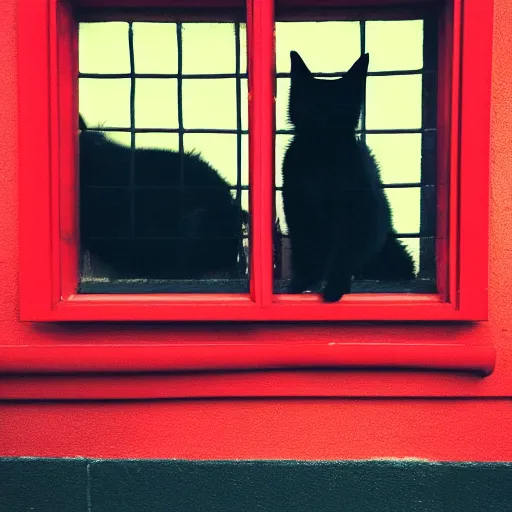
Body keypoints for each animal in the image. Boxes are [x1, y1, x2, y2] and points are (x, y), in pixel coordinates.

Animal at [280, 50, 416, 302]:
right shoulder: (298, 209)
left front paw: (335, 285)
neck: (323, 158)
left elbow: (344, 253)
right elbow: (304, 249)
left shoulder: (358, 213)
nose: (324, 118)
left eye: (340, 106)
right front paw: (300, 283)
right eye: (312, 103)